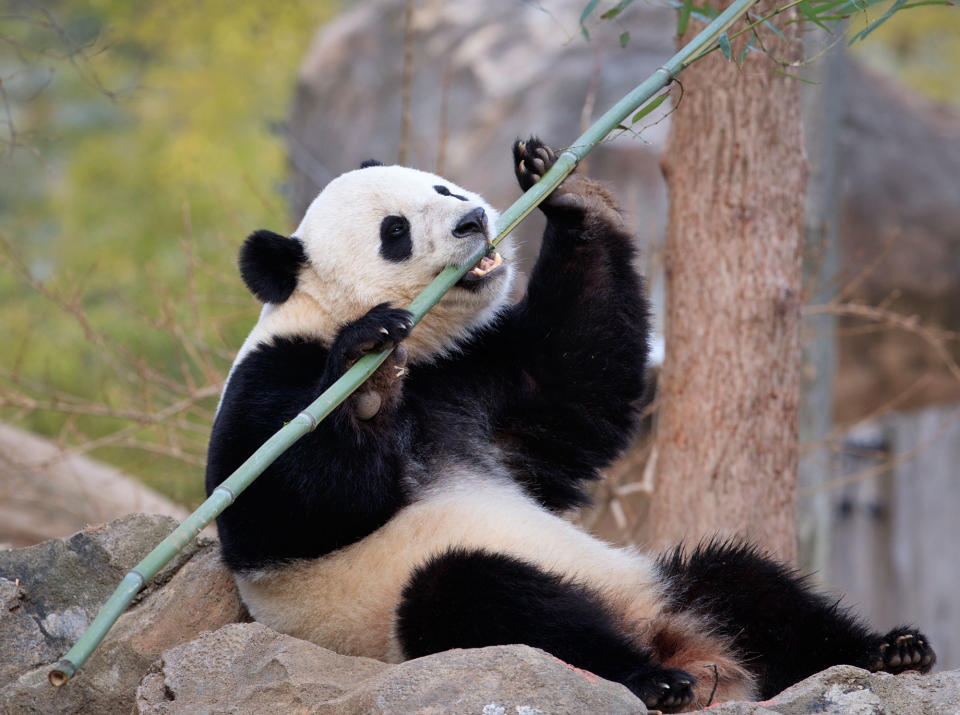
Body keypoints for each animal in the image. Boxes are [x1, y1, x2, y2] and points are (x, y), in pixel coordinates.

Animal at [206, 138, 932, 712]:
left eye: (441, 187)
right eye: (395, 231)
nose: (472, 218)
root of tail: (688, 649)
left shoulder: (473, 378)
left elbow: (574, 384)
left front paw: (569, 192)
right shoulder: (268, 382)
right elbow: (280, 505)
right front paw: (366, 381)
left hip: (656, 585)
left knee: (743, 583)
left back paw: (887, 651)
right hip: (406, 620)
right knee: (479, 594)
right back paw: (651, 679)